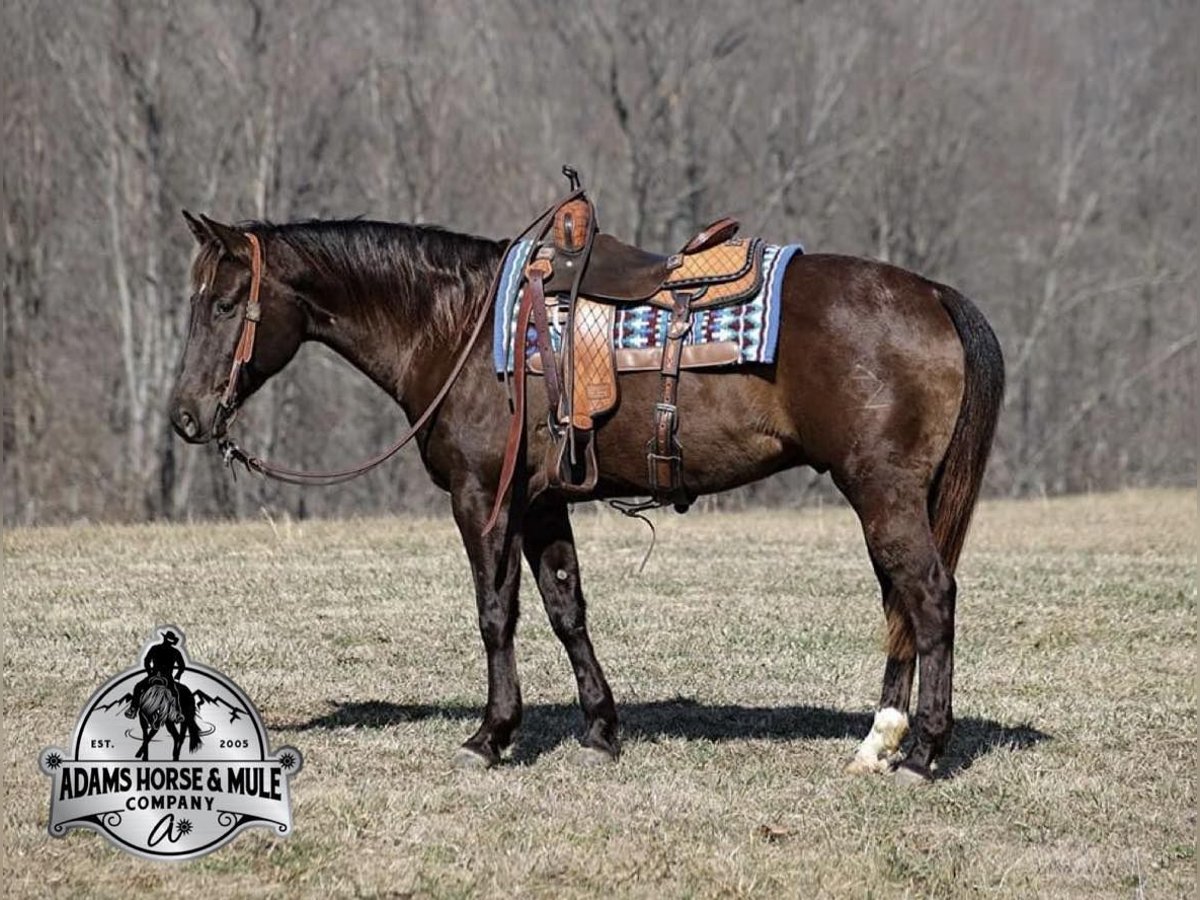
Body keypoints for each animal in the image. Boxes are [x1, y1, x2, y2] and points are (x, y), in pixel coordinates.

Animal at [164, 207, 998, 787]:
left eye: (225, 303)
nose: (186, 416)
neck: (459, 328)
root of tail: (932, 293)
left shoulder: (484, 498)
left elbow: (496, 614)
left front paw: (491, 735)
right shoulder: (541, 503)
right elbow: (566, 607)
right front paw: (600, 729)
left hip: (883, 491)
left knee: (928, 596)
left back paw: (922, 751)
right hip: (892, 496)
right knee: (900, 601)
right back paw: (879, 742)